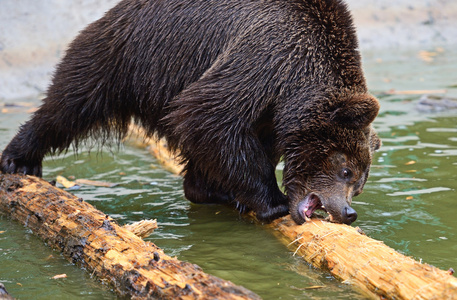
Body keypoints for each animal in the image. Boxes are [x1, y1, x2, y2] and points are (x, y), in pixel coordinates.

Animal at [0, 0, 380, 225]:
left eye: (359, 185)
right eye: (346, 170)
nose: (348, 212)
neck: (299, 82)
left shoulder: (274, 107)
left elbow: (232, 134)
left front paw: (230, 193)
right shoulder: (268, 54)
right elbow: (209, 112)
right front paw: (272, 201)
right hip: (127, 55)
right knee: (68, 105)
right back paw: (19, 160)